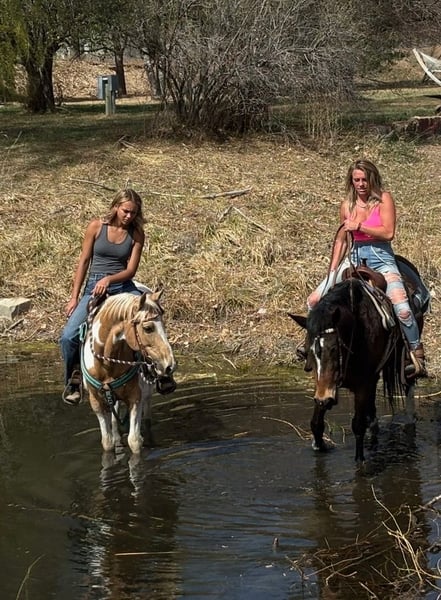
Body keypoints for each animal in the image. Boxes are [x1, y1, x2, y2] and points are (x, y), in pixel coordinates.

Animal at [80, 289, 176, 454]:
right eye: (148, 328)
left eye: (164, 325)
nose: (170, 365)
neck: (107, 363)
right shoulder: (96, 401)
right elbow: (107, 442)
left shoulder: (135, 398)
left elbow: (135, 441)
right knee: (114, 421)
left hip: (147, 395)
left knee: (147, 418)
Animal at [289, 275, 422, 463]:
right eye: (308, 351)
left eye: (334, 349)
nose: (324, 399)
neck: (357, 332)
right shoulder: (325, 385)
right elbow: (316, 423)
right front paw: (319, 446)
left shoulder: (362, 385)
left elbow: (358, 425)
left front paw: (360, 460)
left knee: (408, 385)